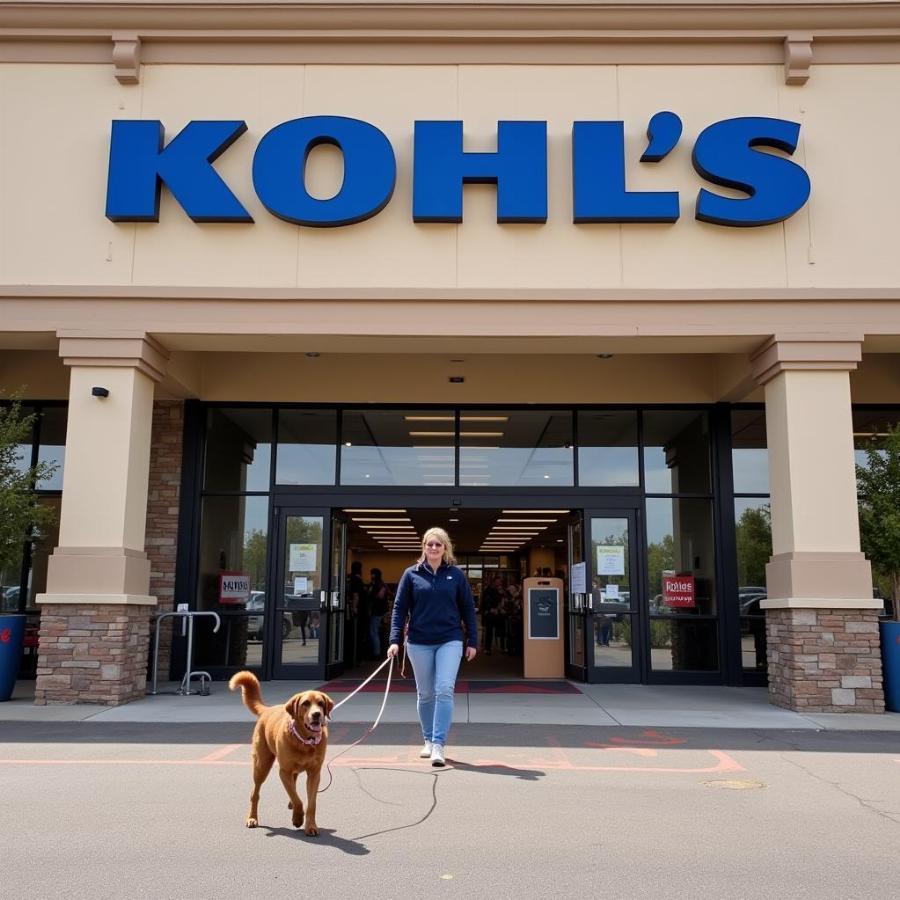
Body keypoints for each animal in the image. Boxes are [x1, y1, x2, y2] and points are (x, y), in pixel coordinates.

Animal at [229, 672, 334, 832]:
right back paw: (252, 818)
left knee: (293, 786)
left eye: (321, 703)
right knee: (255, 793)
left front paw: (310, 825)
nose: (316, 714)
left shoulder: (314, 773)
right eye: (305, 703)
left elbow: (311, 803)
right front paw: (298, 818)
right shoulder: (284, 771)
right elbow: (298, 799)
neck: (305, 741)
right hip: (261, 765)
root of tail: (268, 710)